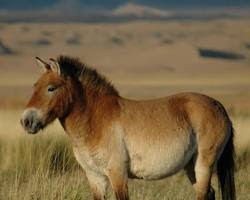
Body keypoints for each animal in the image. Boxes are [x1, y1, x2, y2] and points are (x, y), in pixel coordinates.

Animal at [20, 55, 235, 200]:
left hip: (204, 165)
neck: (95, 120)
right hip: (191, 166)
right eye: (34, 86)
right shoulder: (95, 177)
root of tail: (219, 107)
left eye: (51, 88)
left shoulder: (117, 174)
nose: (26, 121)